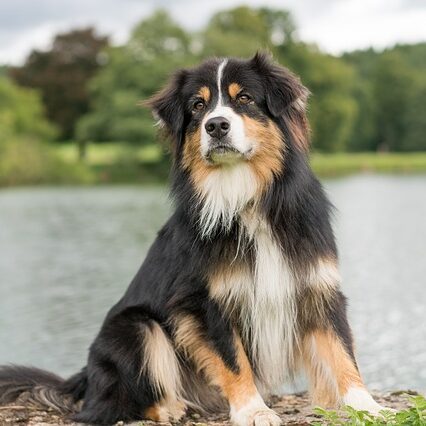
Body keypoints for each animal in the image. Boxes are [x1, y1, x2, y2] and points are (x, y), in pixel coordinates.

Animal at [0, 54, 386, 426]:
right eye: (198, 106)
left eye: (244, 99)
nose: (215, 125)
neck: (244, 198)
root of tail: (82, 378)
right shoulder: (204, 301)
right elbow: (233, 359)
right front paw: (253, 411)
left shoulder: (316, 285)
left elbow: (341, 352)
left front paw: (368, 406)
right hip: (136, 328)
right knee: (110, 406)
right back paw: (169, 408)